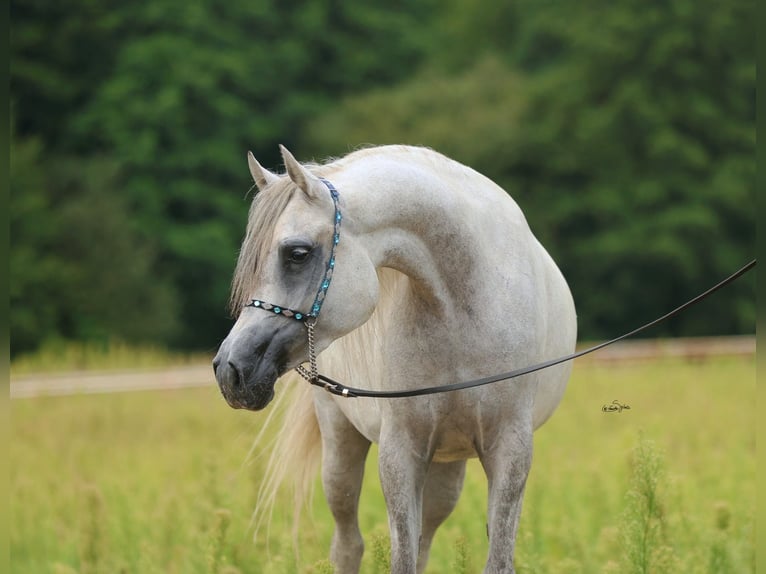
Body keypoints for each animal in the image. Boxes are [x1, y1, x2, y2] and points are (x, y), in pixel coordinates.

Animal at [213, 145, 580, 574]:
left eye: (297, 253)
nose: (230, 370)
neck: (465, 302)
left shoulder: (511, 451)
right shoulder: (401, 453)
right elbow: (401, 558)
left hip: (445, 464)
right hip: (341, 445)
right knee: (348, 544)